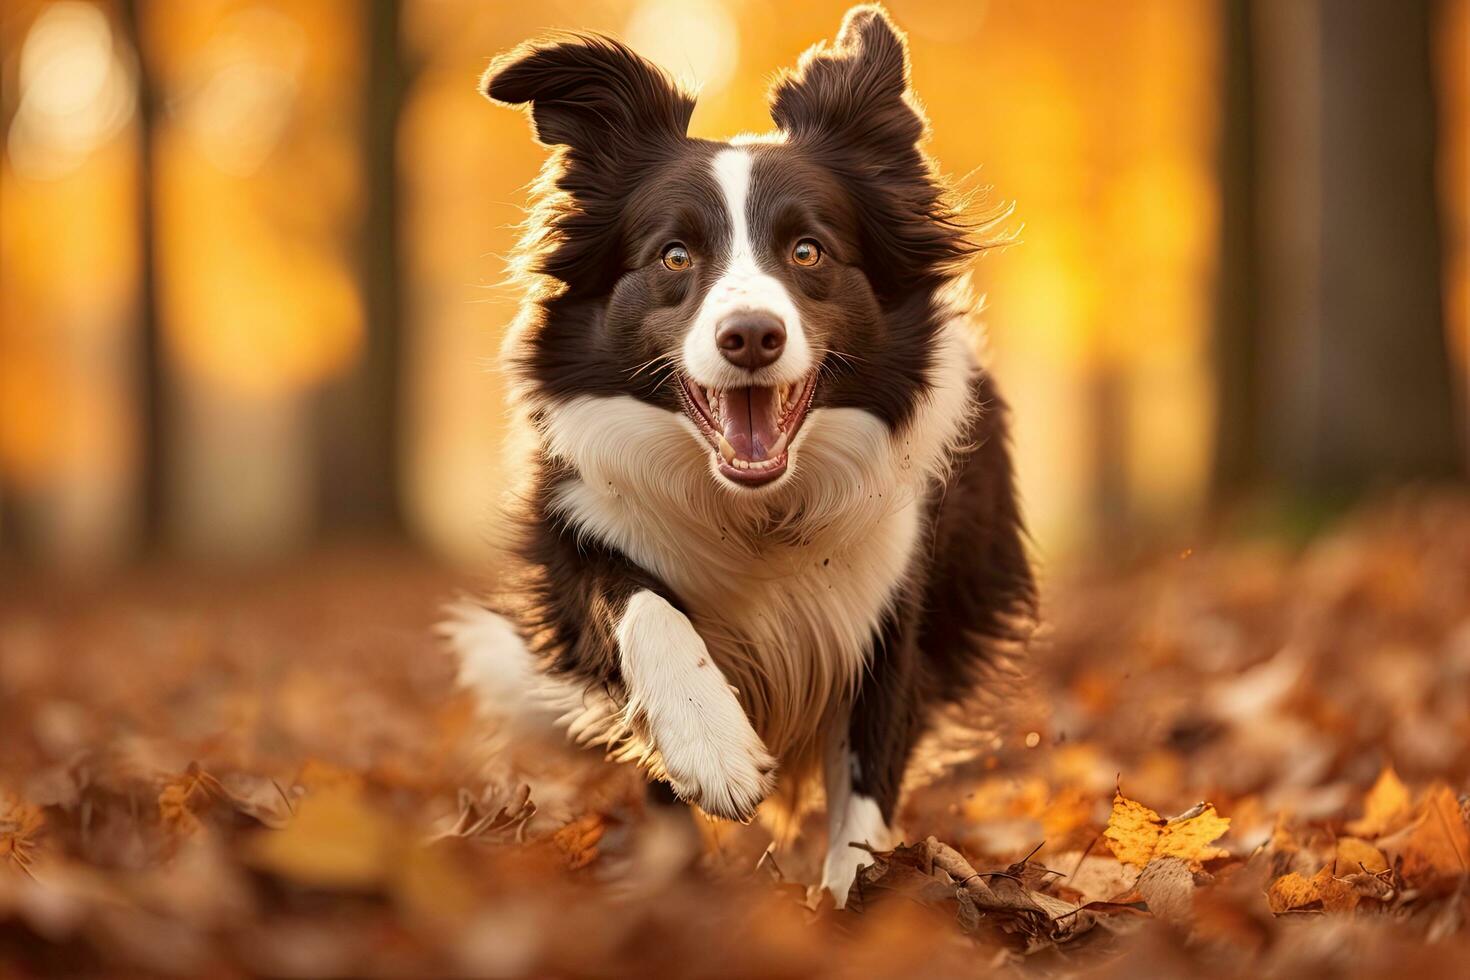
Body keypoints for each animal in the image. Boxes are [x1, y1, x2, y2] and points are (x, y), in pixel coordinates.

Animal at [446, 3, 1034, 910]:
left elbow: (865, 788)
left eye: (808, 251)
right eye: (674, 255)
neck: (759, 512)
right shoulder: (577, 525)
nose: (751, 335)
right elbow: (640, 605)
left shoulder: (890, 608)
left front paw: (852, 904)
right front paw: (712, 749)